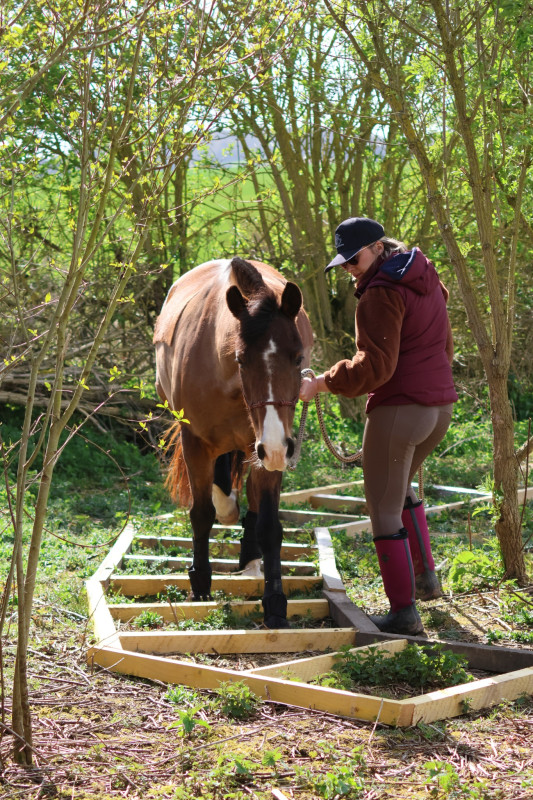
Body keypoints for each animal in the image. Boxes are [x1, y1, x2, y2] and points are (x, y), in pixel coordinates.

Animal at [154, 257, 313, 628]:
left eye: (298, 358)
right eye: (241, 359)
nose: (275, 446)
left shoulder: (269, 449)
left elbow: (269, 526)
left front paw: (275, 602)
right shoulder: (196, 443)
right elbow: (201, 513)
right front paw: (200, 582)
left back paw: (250, 554)